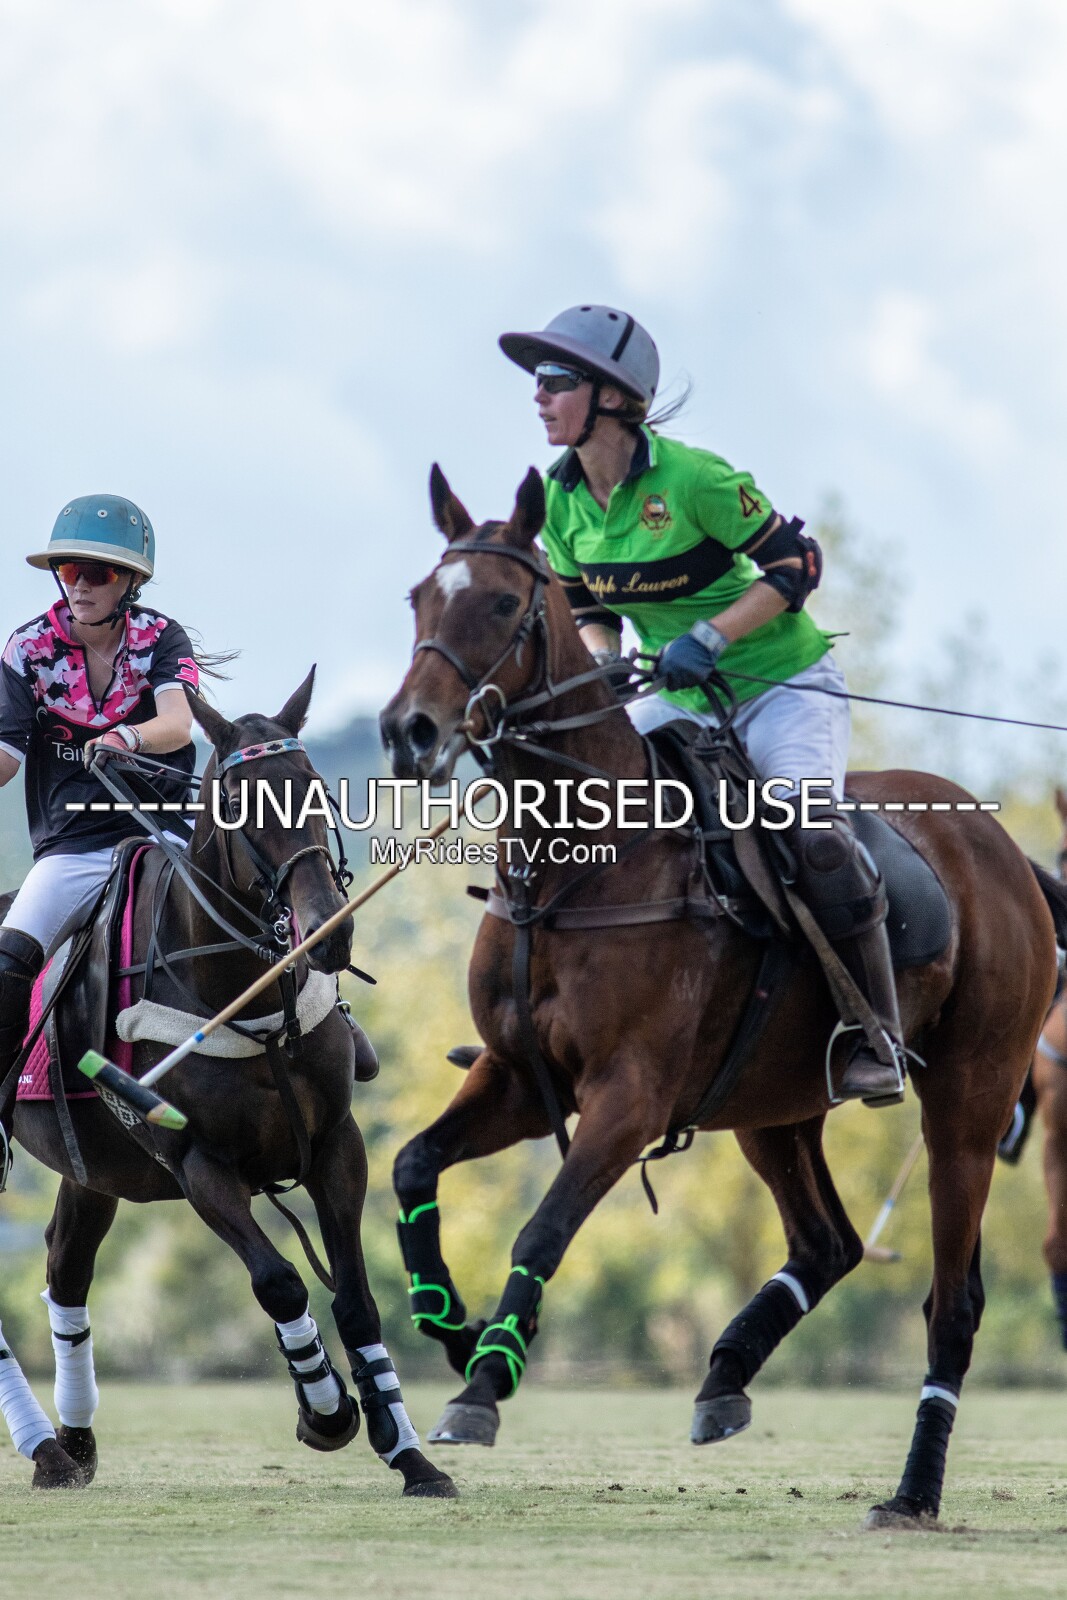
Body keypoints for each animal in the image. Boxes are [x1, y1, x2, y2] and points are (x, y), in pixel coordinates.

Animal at [9, 671, 454, 1497]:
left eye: (316, 788)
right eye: (240, 804)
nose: (329, 930)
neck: (245, 997)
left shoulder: (336, 1145)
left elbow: (356, 1301)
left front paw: (410, 1454)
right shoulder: (199, 1165)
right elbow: (280, 1282)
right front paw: (326, 1412)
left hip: (92, 1170)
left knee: (64, 1271)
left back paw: (73, 1445)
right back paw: (45, 1449)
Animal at [379, 466, 1065, 1530]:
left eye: (498, 602)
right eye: (417, 596)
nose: (409, 731)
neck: (579, 865)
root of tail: (1008, 852)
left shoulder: (630, 1095)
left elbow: (545, 1224)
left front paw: (485, 1382)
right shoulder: (518, 1077)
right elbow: (413, 1163)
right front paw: (454, 1330)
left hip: (970, 1094)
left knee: (952, 1302)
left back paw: (910, 1494)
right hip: (769, 1101)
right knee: (825, 1242)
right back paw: (725, 1375)